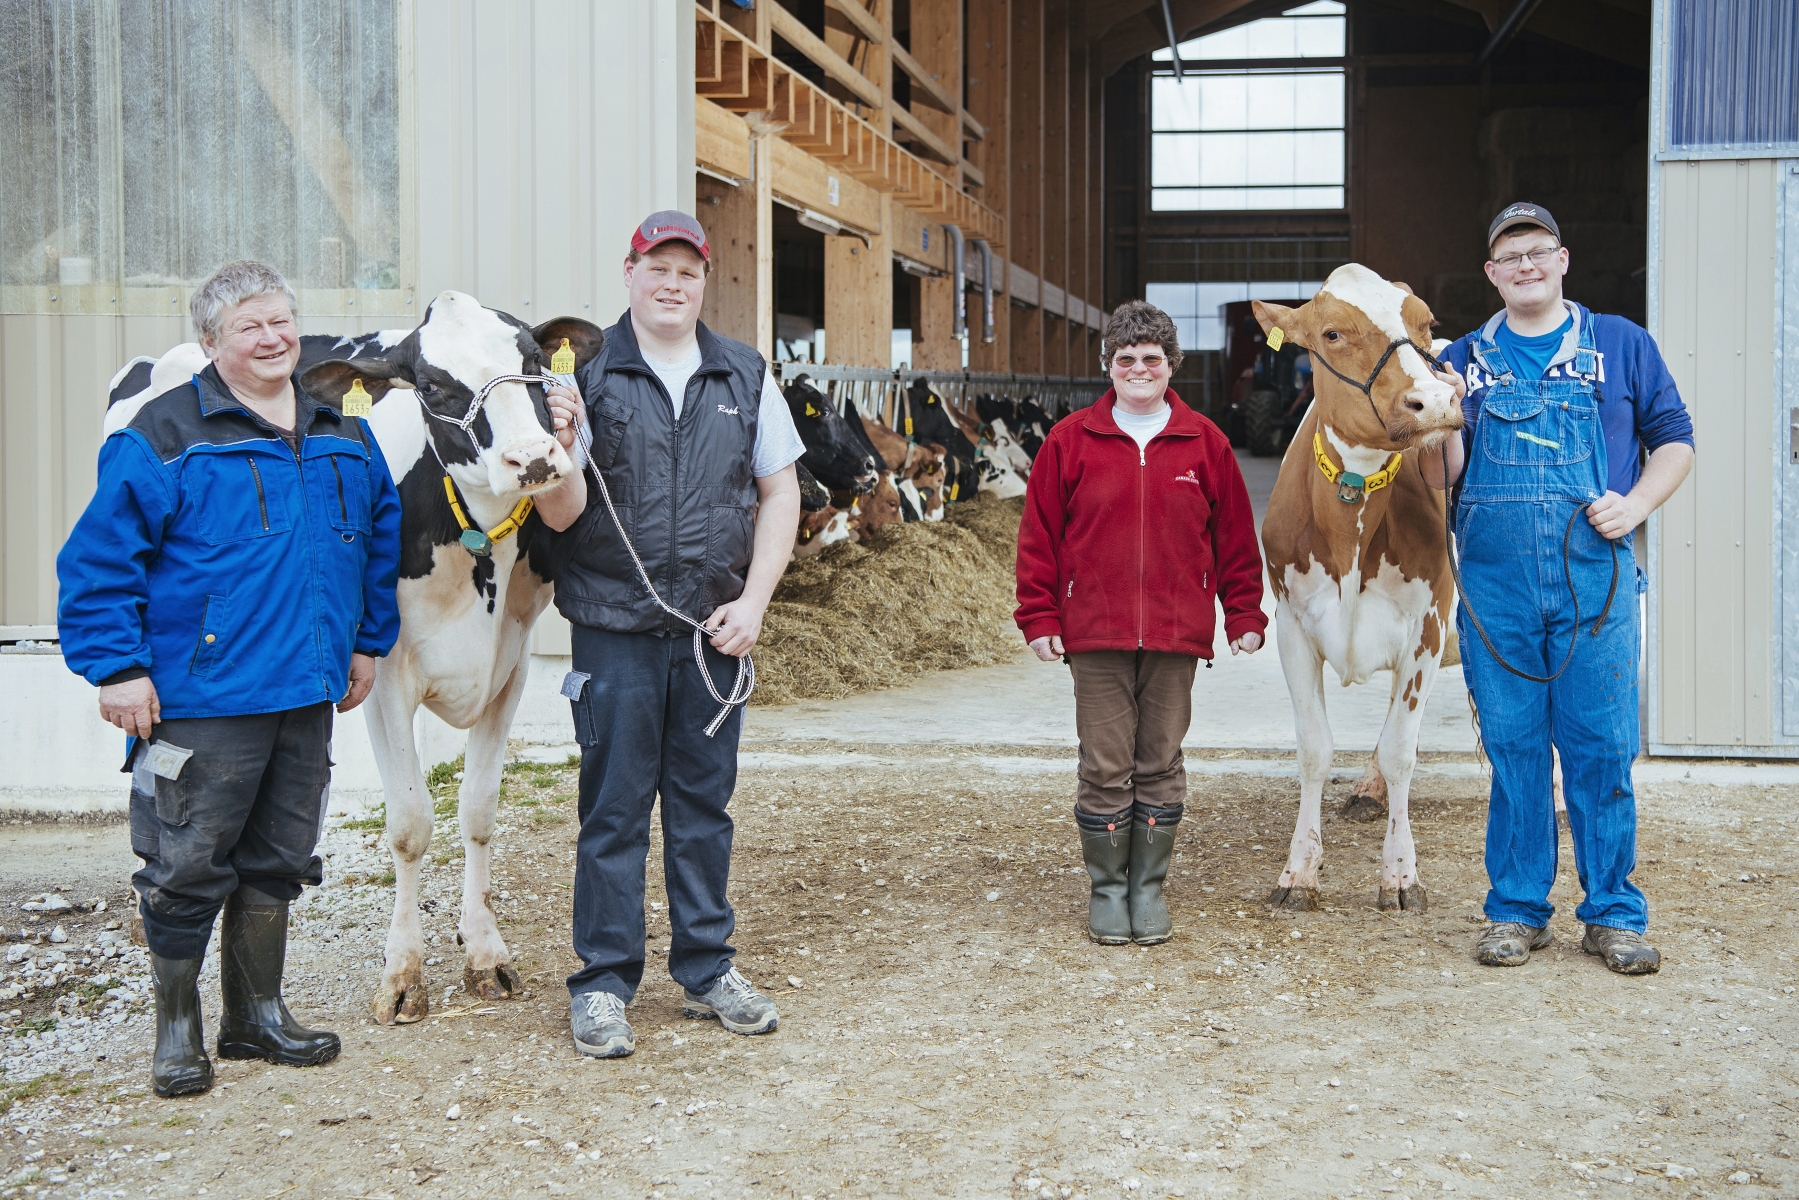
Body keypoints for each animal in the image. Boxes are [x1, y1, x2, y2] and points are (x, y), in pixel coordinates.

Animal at [110, 287, 604, 1021]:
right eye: (433, 385)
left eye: (535, 362)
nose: (535, 458)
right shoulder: (384, 672)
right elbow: (409, 824)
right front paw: (403, 972)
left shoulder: (510, 663)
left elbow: (479, 810)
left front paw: (483, 949)